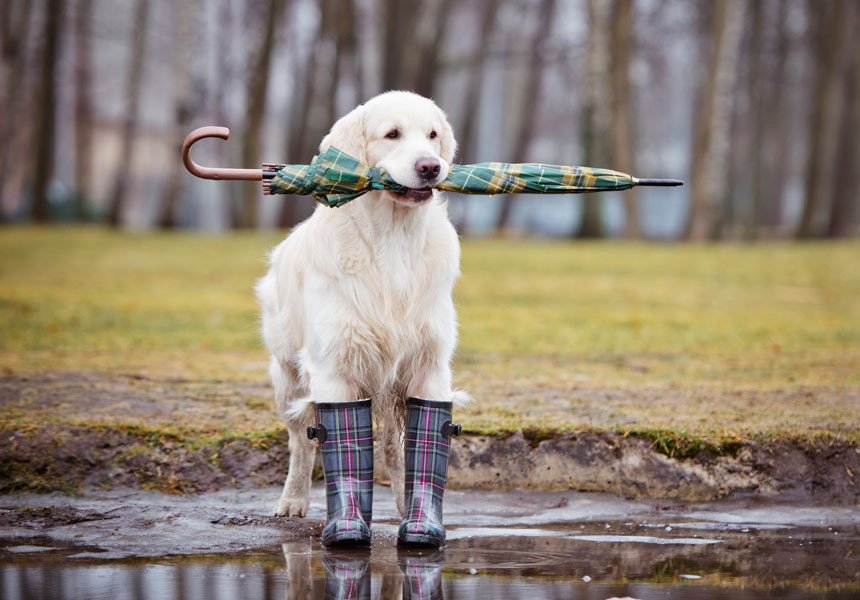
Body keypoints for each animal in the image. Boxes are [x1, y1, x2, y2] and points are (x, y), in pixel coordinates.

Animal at [256, 90, 466, 520]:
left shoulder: (429, 365)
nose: (431, 167)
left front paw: (418, 514)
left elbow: (413, 446)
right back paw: (293, 499)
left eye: (433, 135)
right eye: (392, 134)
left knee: (392, 446)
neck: (394, 239)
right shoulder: (335, 367)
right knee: (300, 442)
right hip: (286, 374)